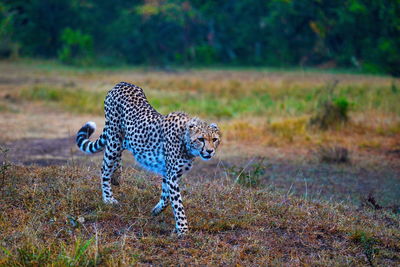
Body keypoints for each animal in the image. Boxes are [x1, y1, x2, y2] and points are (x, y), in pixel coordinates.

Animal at [76, 80, 220, 236]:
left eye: (215, 139)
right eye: (201, 139)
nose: (210, 151)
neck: (186, 142)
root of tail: (122, 83)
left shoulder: (169, 173)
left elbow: (166, 197)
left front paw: (156, 210)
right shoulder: (172, 175)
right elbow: (177, 204)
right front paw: (183, 229)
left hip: (125, 139)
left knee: (116, 156)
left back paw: (117, 176)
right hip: (114, 137)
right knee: (105, 167)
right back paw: (108, 198)